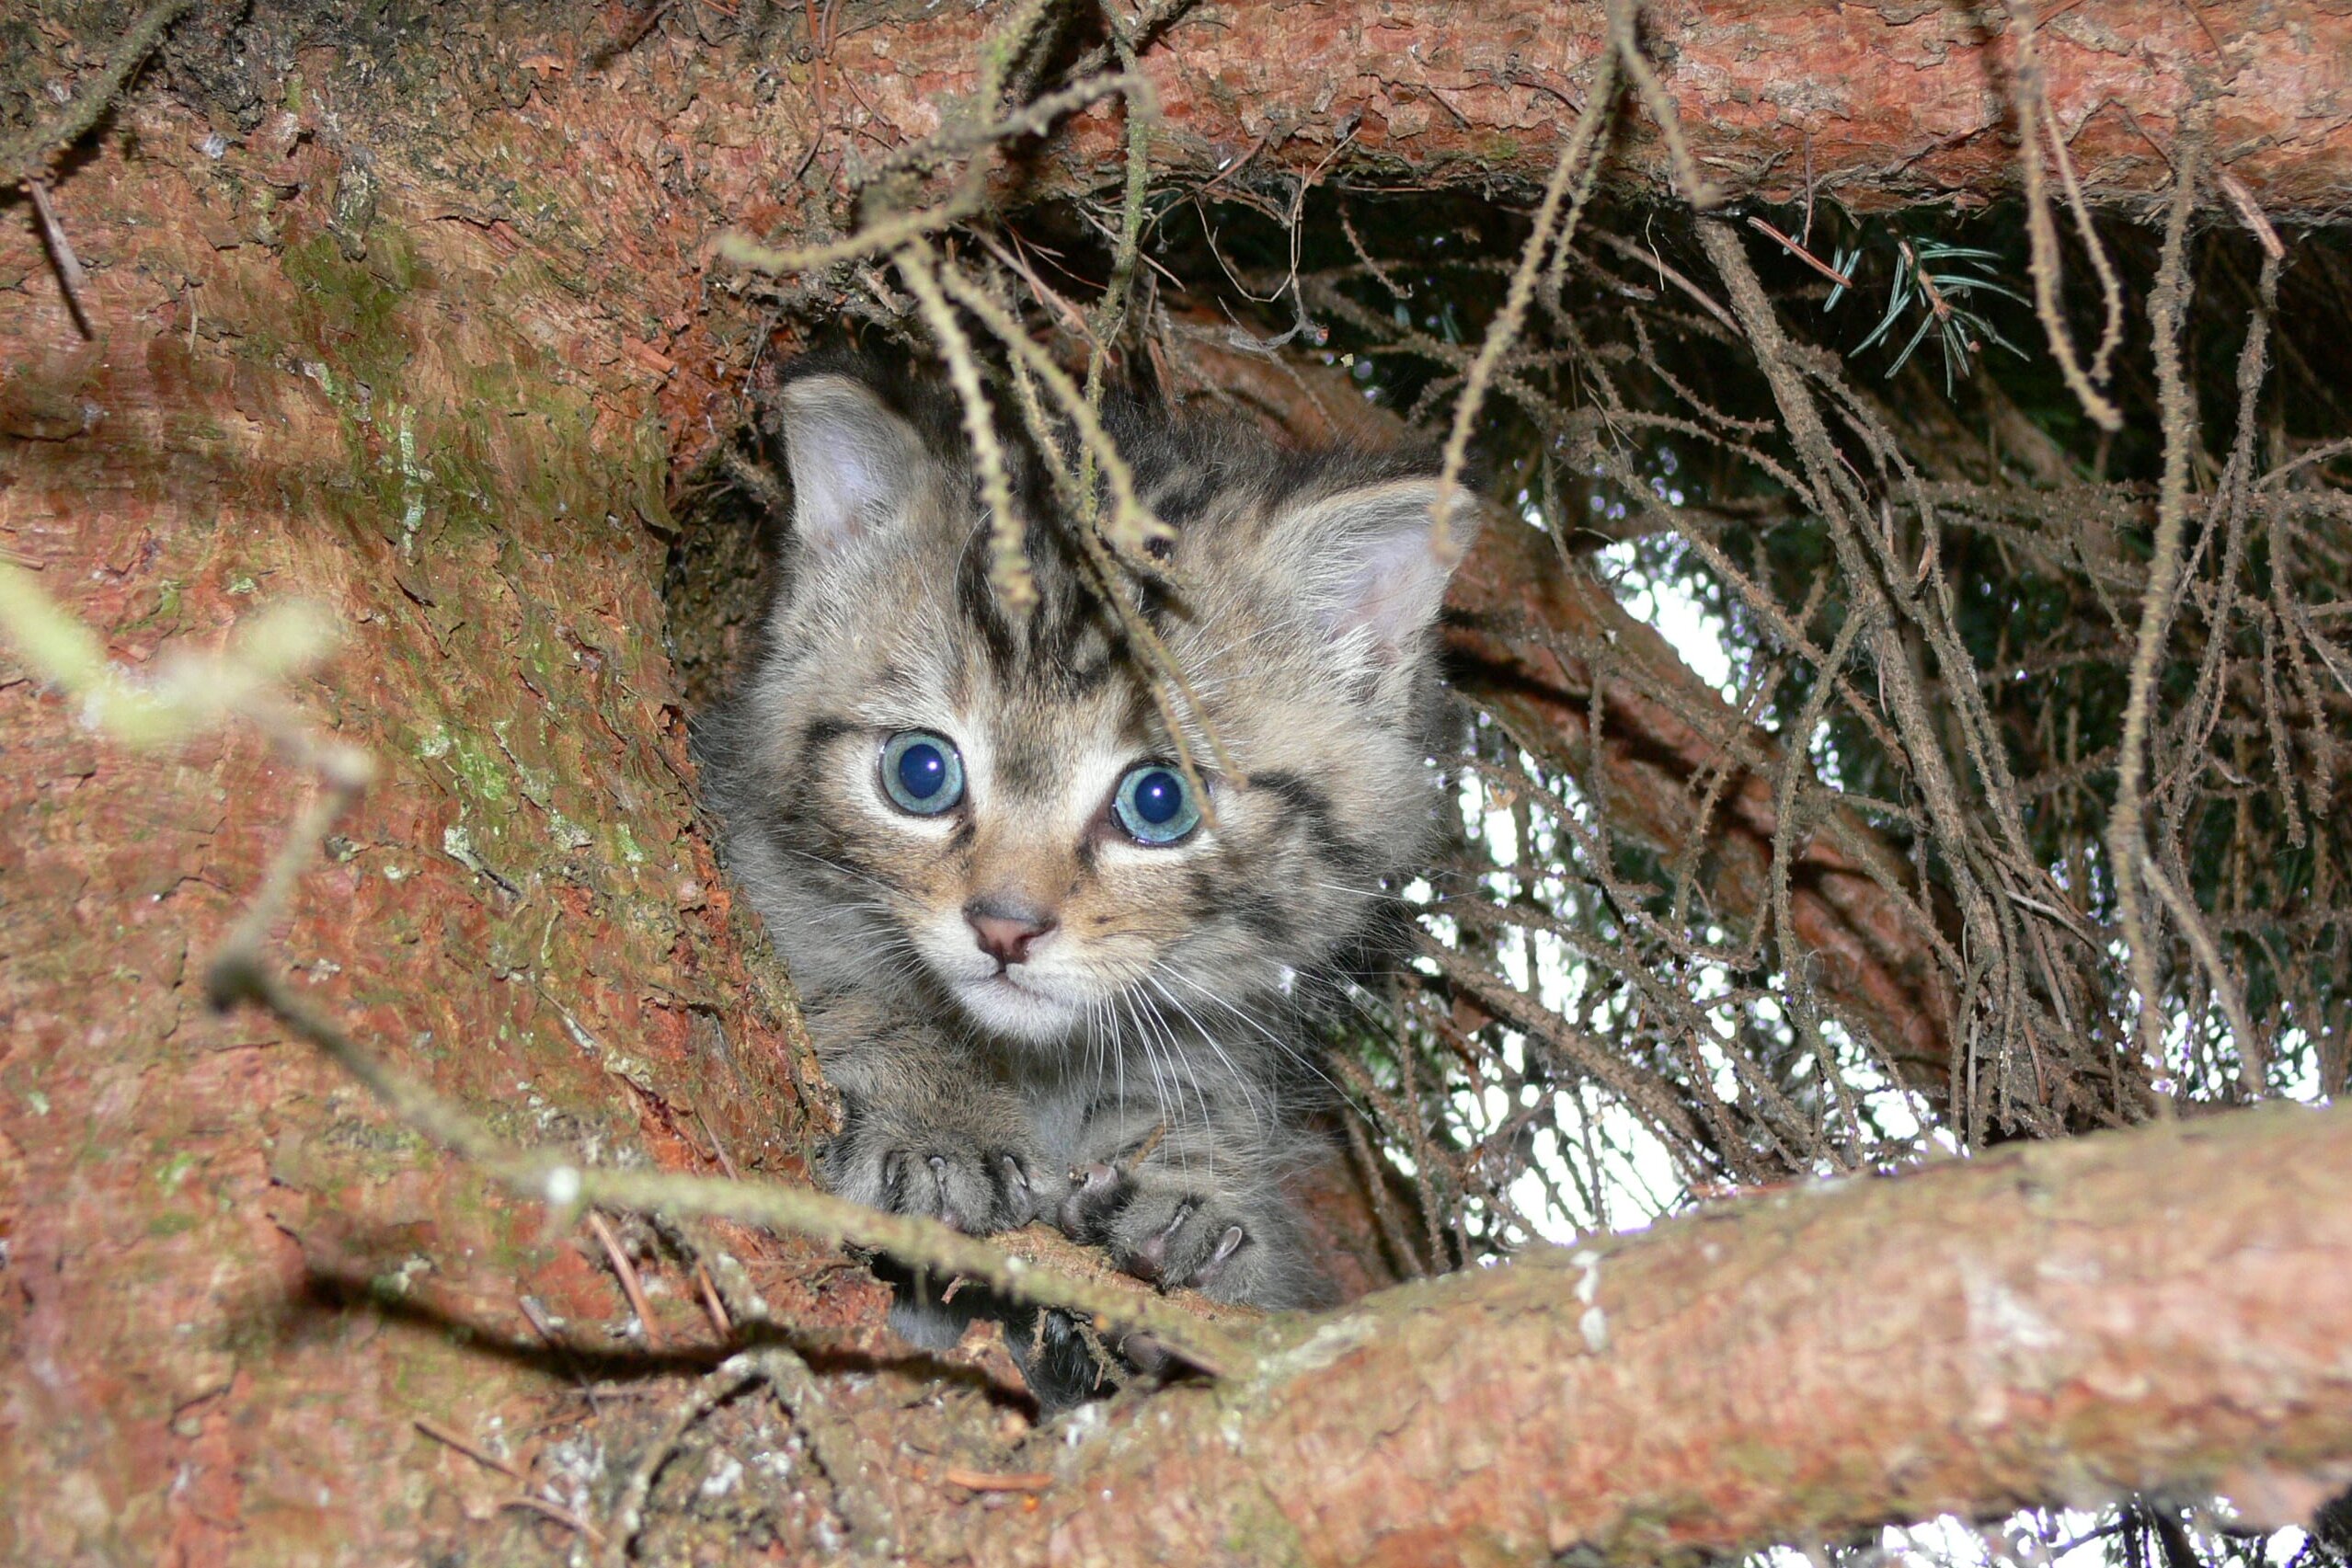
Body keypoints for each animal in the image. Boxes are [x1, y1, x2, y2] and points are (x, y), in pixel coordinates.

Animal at [704, 352, 1476, 1320]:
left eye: (1159, 799)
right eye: (920, 771)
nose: (1005, 928)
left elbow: (1198, 1093)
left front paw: (1195, 1194)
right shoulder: (761, 871)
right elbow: (844, 988)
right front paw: (936, 1117)